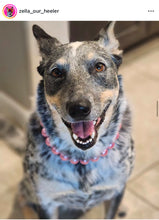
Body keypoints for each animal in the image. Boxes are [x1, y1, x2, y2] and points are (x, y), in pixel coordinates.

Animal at [17, 21, 135, 218]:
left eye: (99, 67)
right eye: (56, 72)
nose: (78, 108)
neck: (83, 159)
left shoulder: (116, 190)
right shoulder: (47, 204)